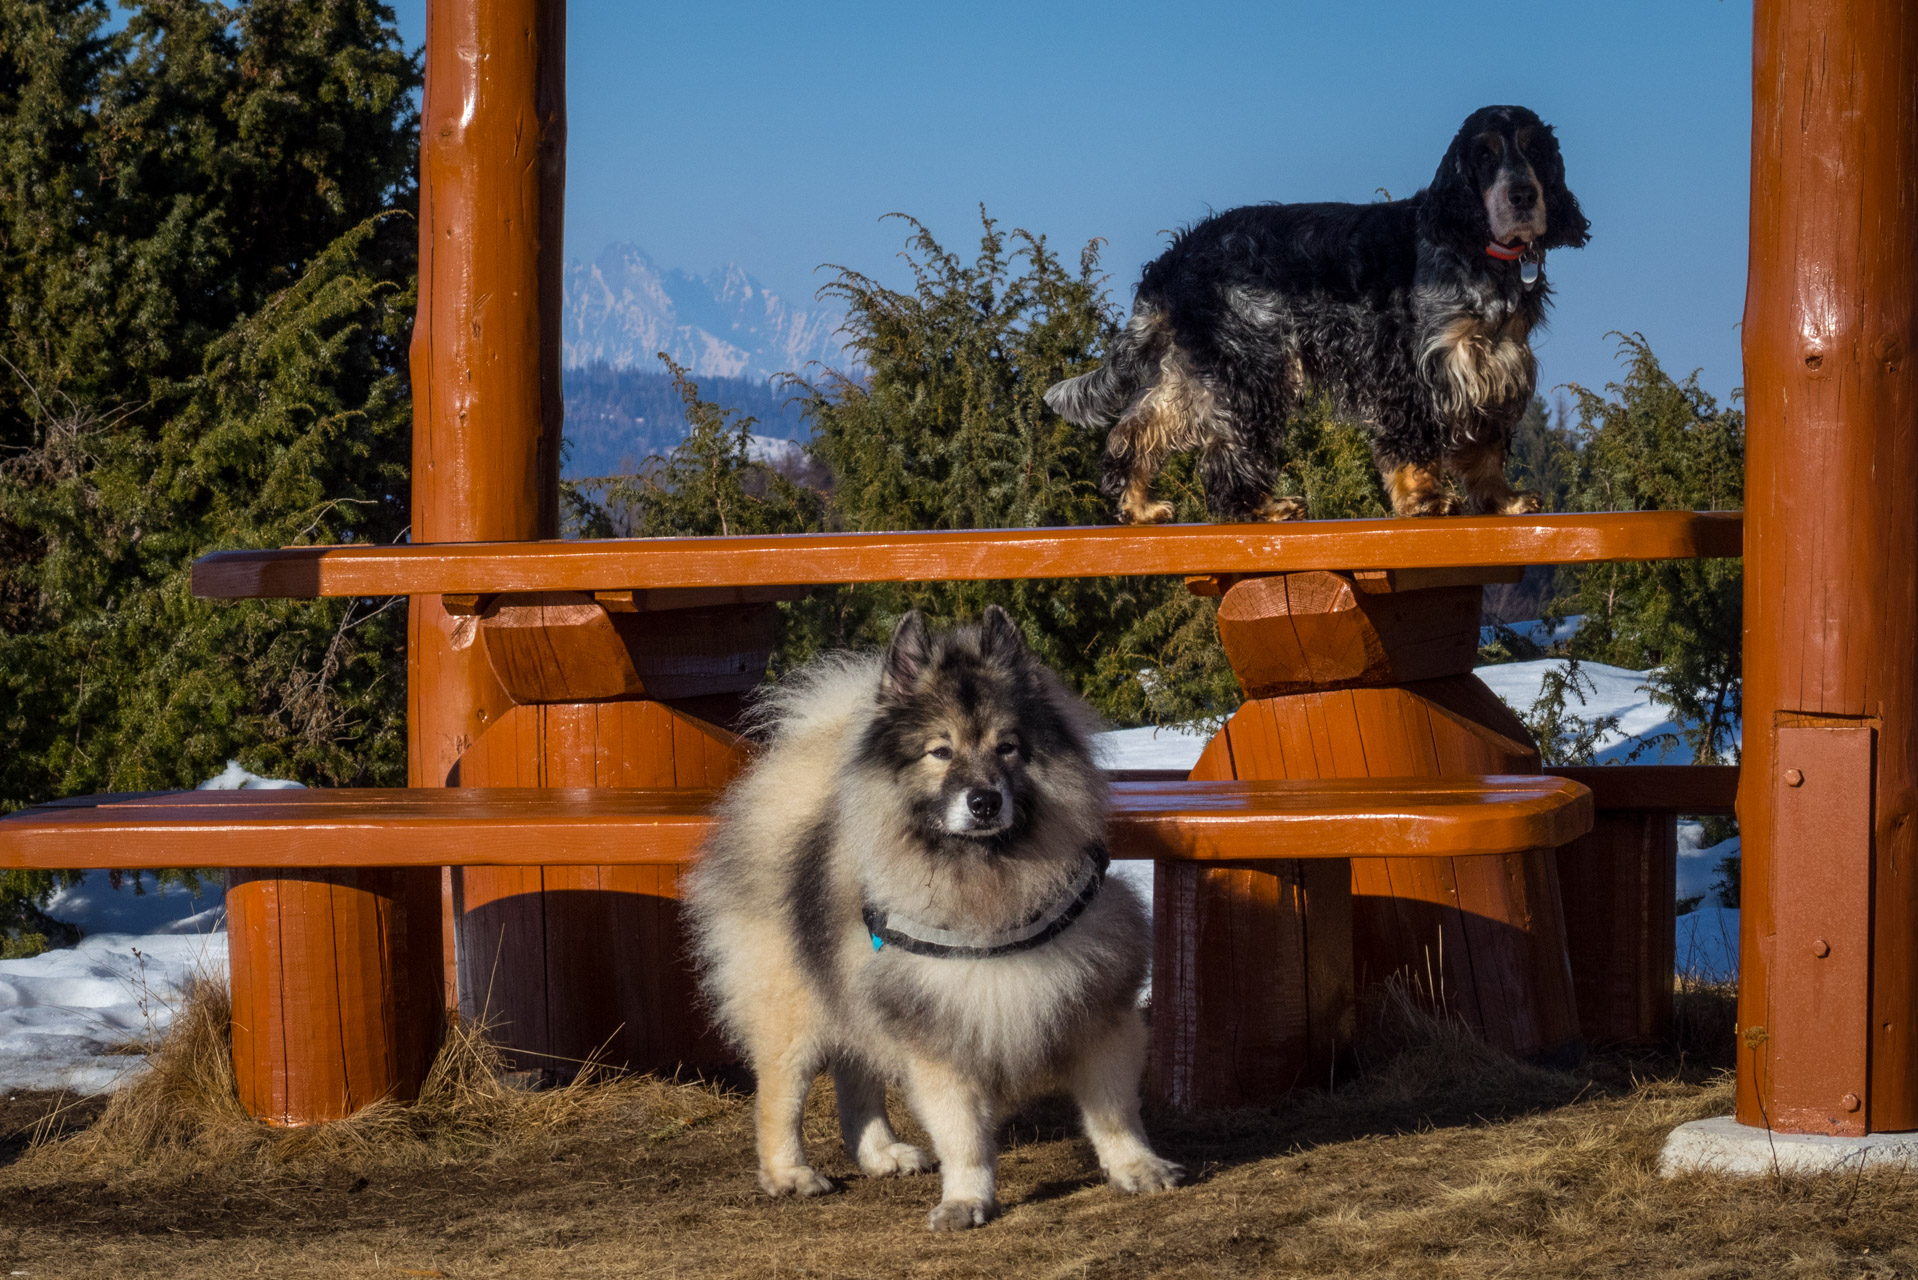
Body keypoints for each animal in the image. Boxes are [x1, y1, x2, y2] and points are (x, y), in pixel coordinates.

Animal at [682, 610, 1173, 1228]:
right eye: (940, 751)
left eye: (1008, 747)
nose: (984, 801)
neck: (987, 882)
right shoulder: (938, 1035)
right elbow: (963, 1135)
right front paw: (967, 1200)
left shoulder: (1099, 1012)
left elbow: (1115, 1112)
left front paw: (1137, 1168)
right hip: (792, 1005)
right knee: (780, 1092)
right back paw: (789, 1173)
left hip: (855, 987)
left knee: (857, 1070)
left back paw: (880, 1153)